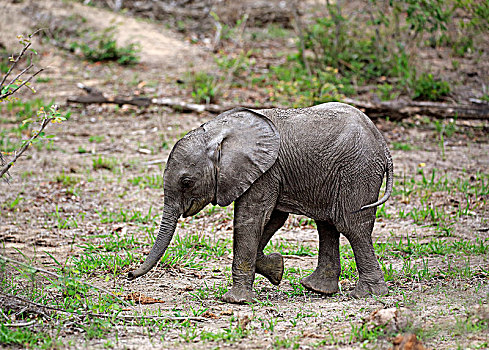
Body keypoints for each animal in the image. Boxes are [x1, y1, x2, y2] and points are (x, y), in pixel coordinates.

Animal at [127, 102, 392, 304]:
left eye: (186, 182)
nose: (129, 274)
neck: (219, 132)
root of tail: (384, 144)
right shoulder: (268, 173)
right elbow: (272, 218)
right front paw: (276, 269)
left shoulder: (266, 171)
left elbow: (251, 219)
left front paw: (235, 301)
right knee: (327, 225)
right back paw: (316, 288)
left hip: (358, 171)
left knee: (352, 226)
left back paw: (368, 294)